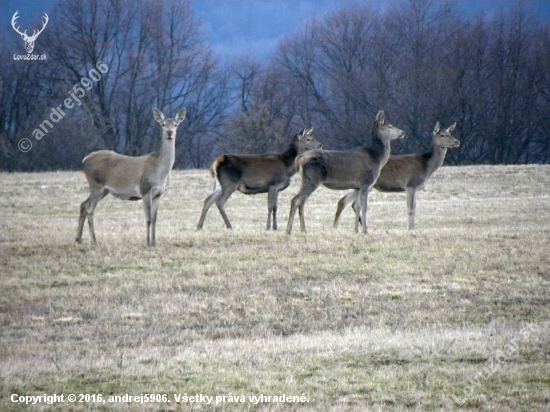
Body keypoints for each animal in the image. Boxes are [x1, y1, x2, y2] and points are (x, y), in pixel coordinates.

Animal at [75, 108, 189, 246]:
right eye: (163, 124)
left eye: (175, 124)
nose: (169, 132)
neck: (160, 173)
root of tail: (84, 160)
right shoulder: (145, 190)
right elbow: (148, 219)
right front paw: (147, 243)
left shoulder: (159, 194)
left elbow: (155, 219)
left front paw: (154, 242)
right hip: (96, 184)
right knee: (90, 209)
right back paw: (94, 241)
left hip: (103, 190)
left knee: (83, 205)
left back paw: (78, 239)